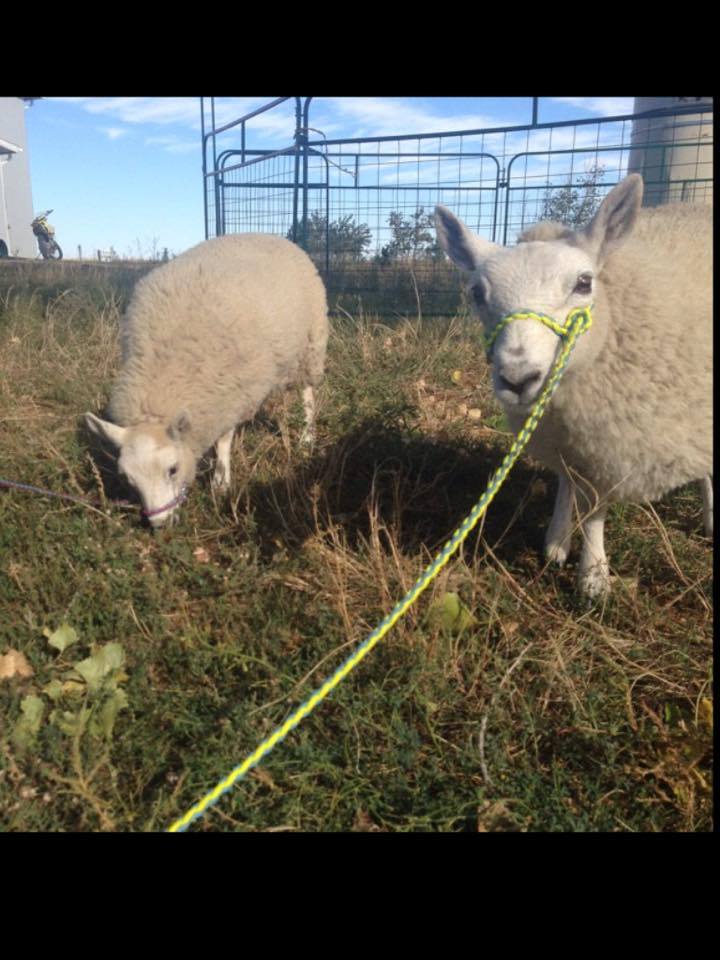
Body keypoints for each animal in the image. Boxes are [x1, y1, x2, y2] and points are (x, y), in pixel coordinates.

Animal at [84, 233, 328, 527]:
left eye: (173, 469)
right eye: (128, 479)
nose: (160, 524)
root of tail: (271, 235)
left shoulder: (230, 393)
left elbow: (223, 440)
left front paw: (221, 484)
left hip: (311, 344)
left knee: (307, 394)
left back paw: (306, 437)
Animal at [435, 174, 712, 597]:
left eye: (584, 283)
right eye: (477, 293)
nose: (517, 378)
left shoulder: (610, 446)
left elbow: (596, 510)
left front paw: (593, 577)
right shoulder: (564, 435)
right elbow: (566, 480)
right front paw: (557, 543)